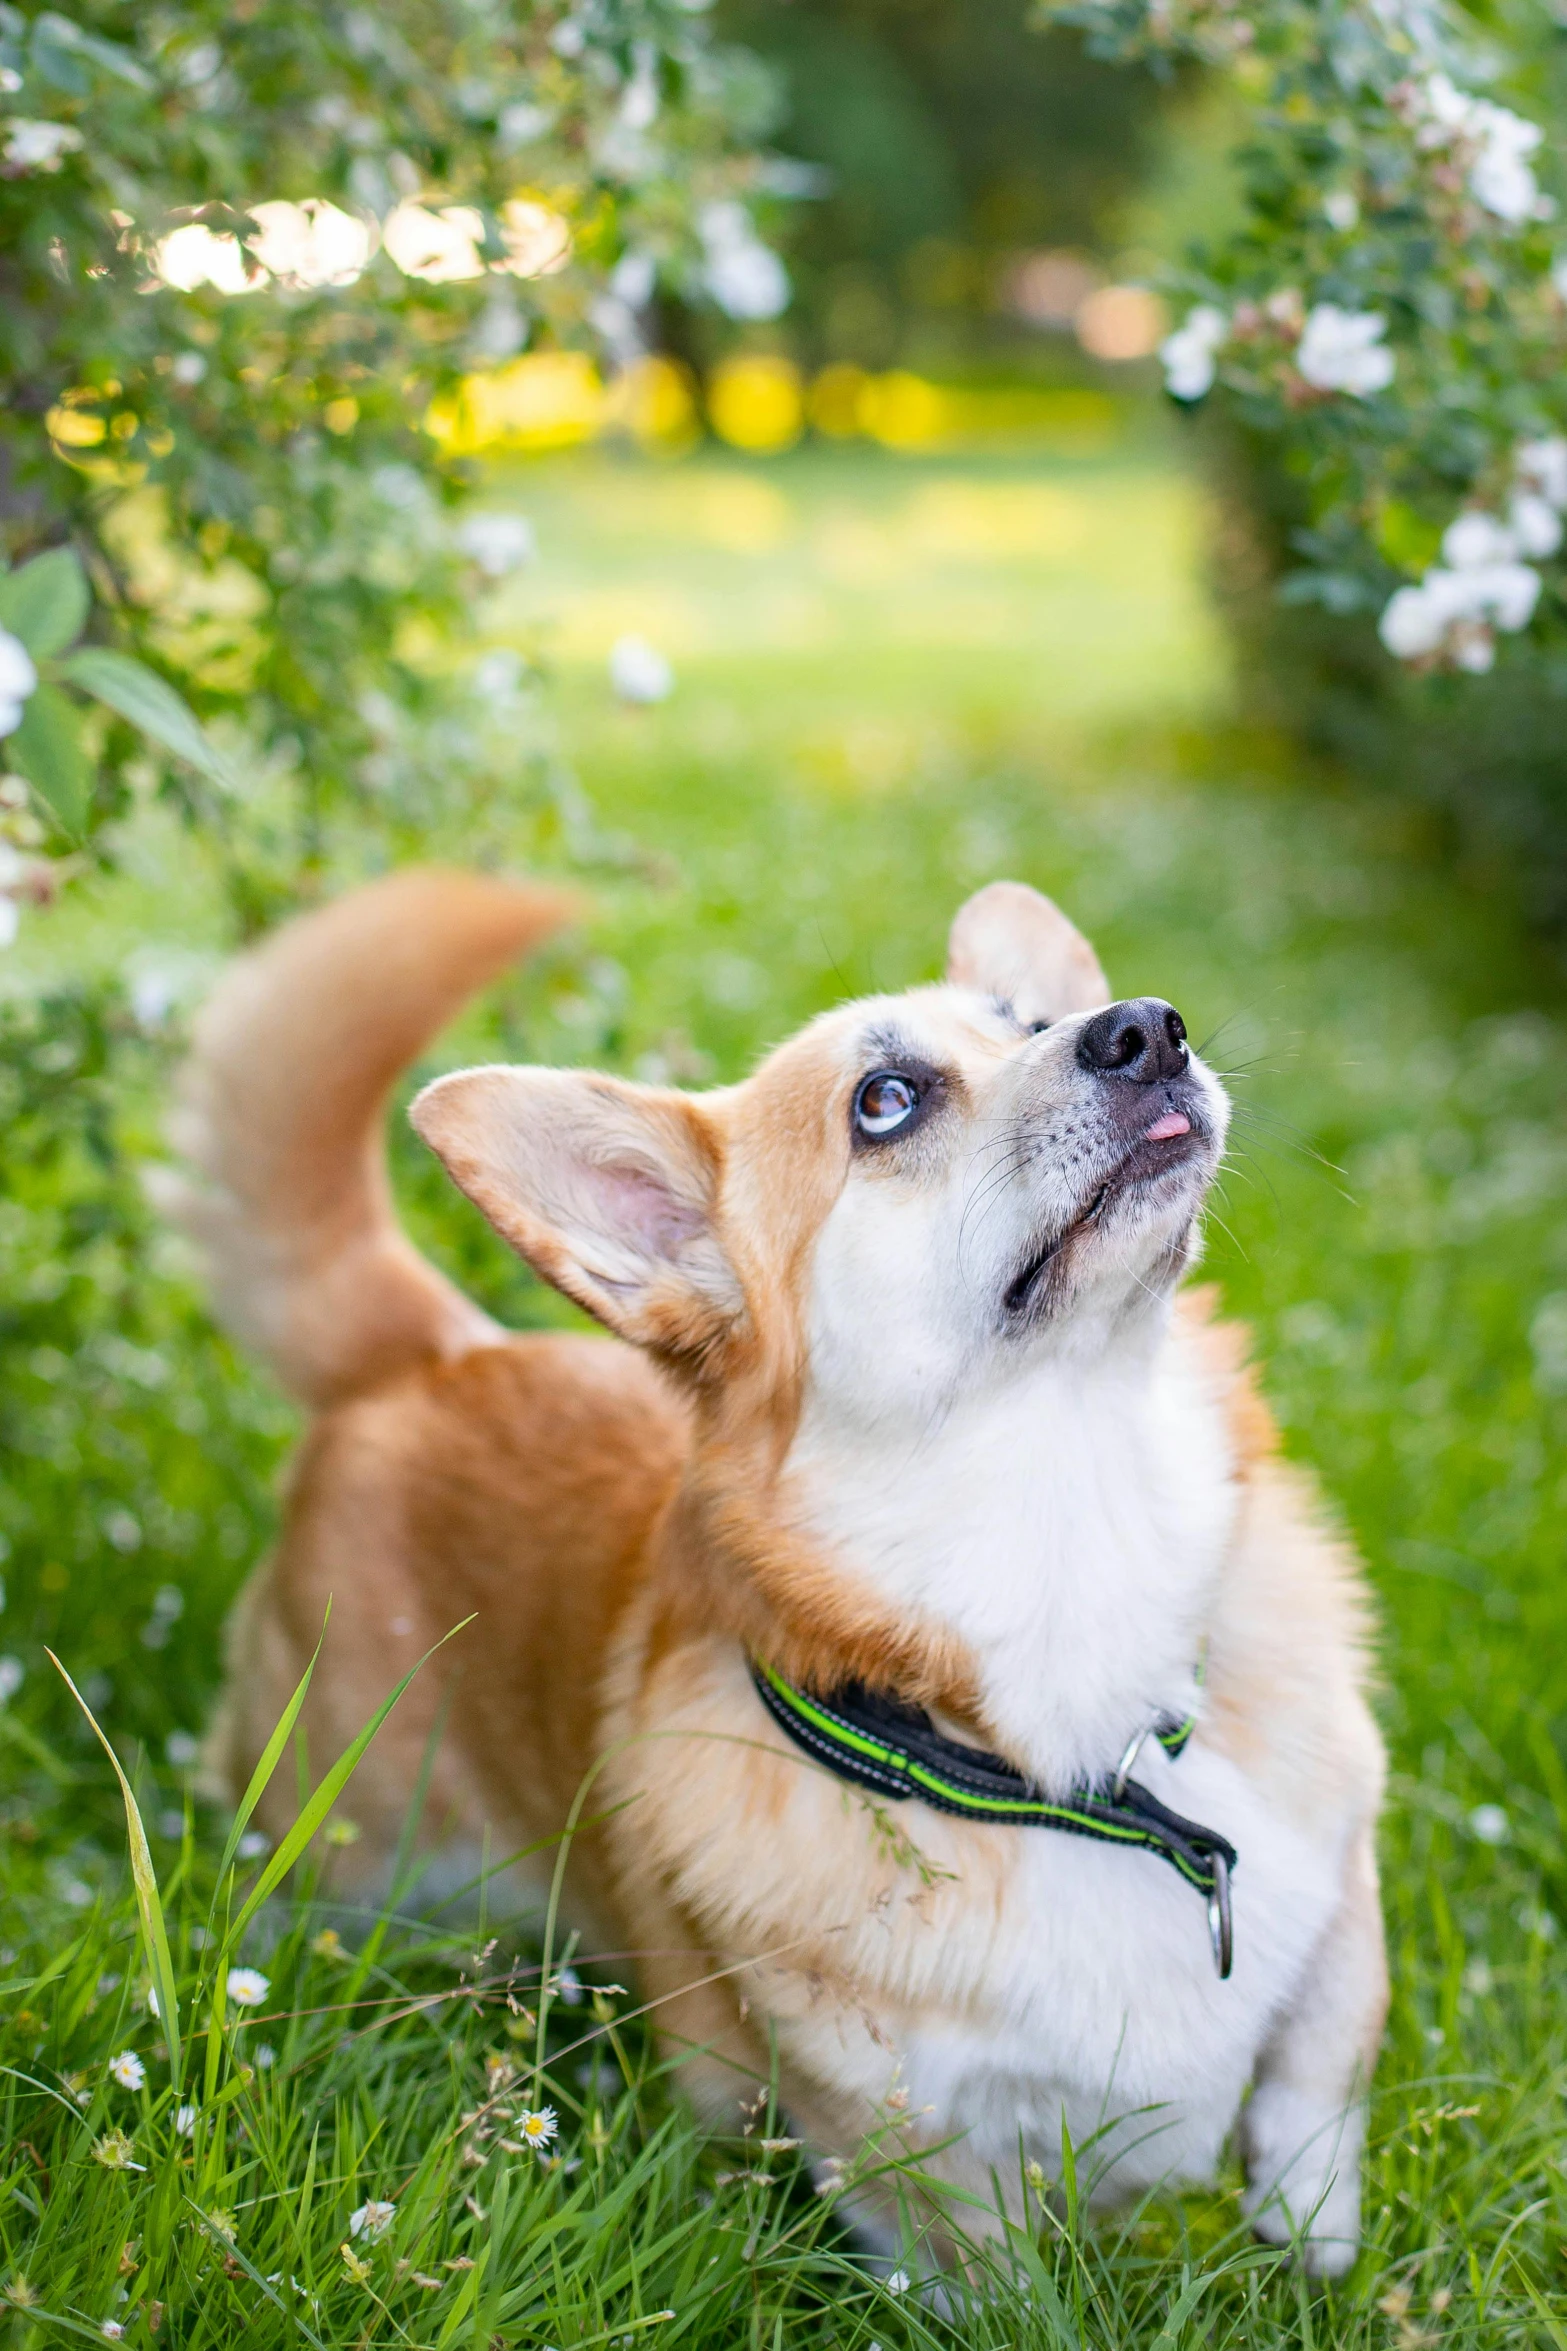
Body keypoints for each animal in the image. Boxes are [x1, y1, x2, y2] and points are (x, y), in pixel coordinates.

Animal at [169, 869, 1381, 2275]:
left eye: (1030, 1019)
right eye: (885, 1099)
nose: (1146, 1027)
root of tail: (427, 1352)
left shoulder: (1343, 1875)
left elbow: (1322, 2054)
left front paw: (1310, 2234)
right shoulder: (907, 2150)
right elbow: (1000, 2270)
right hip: (344, 1844)